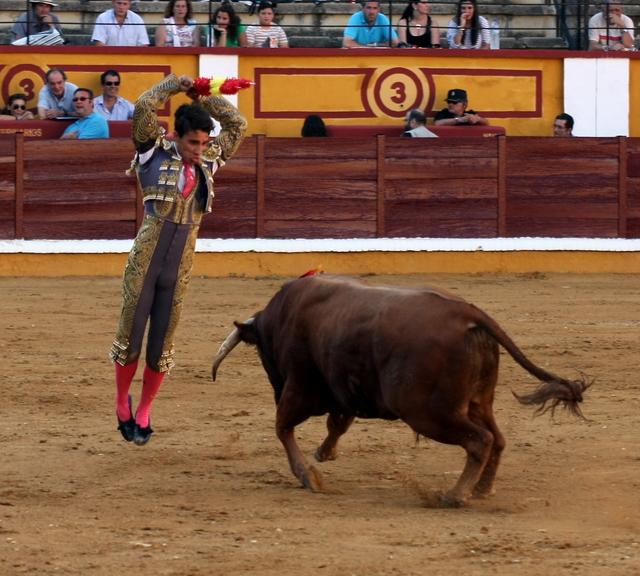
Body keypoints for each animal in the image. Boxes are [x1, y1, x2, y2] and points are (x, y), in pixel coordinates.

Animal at [211, 274, 592, 504]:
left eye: (261, 352)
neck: (282, 318)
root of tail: (467, 315)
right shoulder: (345, 389)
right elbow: (337, 423)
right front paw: (323, 453)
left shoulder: (299, 388)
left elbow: (283, 427)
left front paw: (309, 474)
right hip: (478, 401)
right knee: (496, 438)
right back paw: (482, 489)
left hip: (427, 412)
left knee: (479, 440)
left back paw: (455, 495)